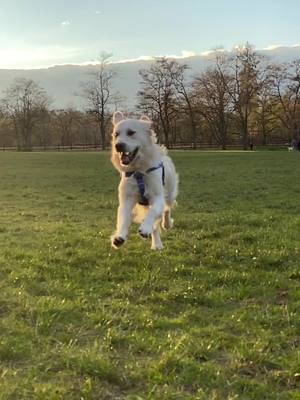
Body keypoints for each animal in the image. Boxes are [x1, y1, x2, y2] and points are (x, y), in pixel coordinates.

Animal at [111, 111, 179, 250]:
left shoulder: (157, 197)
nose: (118, 145)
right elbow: (123, 218)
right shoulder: (127, 198)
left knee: (167, 209)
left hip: (169, 193)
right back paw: (156, 244)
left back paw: (166, 224)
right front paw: (119, 237)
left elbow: (153, 212)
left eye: (131, 132)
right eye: (116, 134)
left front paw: (145, 229)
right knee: (156, 226)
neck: (138, 172)